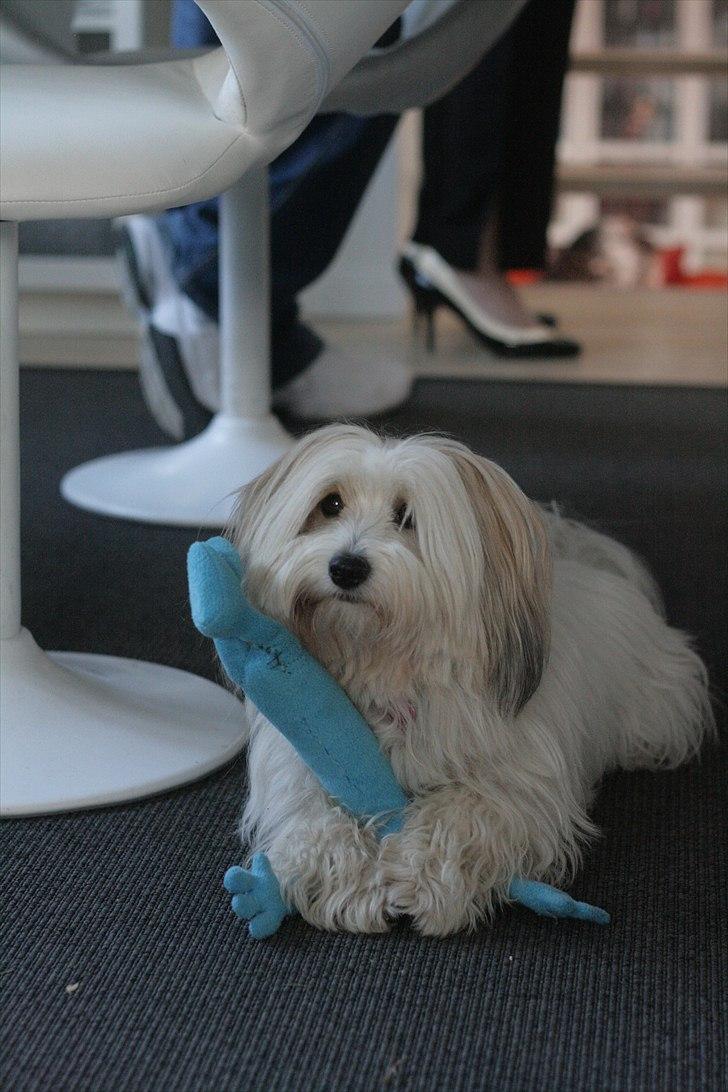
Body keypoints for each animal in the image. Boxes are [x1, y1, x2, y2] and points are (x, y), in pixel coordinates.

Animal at [228, 421, 711, 934]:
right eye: (330, 504)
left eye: (407, 516)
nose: (346, 567)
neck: (387, 668)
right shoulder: (297, 767)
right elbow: (314, 821)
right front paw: (352, 882)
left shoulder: (522, 784)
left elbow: (464, 813)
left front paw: (423, 878)